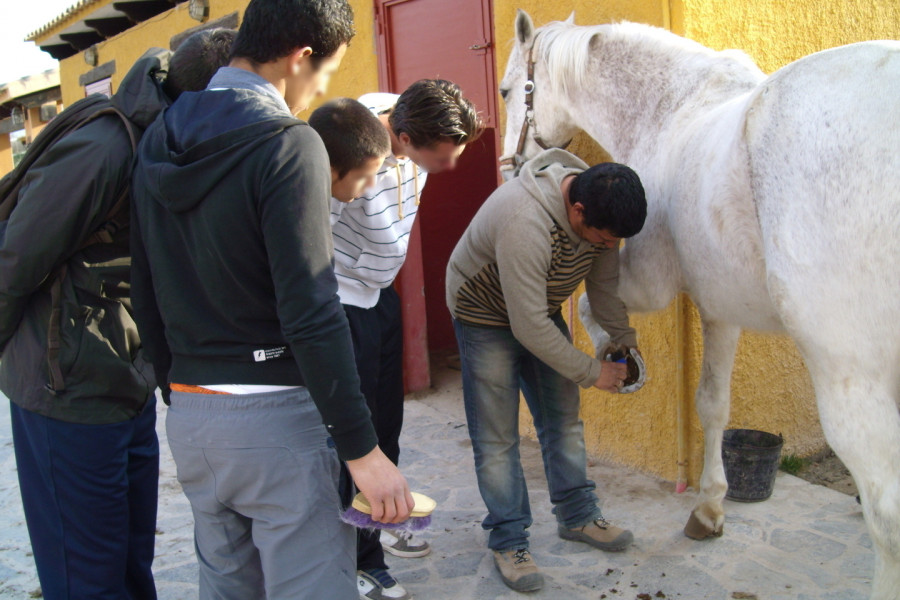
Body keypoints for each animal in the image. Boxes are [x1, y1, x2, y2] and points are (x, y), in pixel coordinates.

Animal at [500, 10, 900, 600]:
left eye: (507, 90)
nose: (511, 166)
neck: (669, 108)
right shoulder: (722, 308)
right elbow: (713, 403)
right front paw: (709, 509)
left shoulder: (650, 284)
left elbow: (594, 310)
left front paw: (620, 362)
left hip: (849, 372)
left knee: (886, 513)